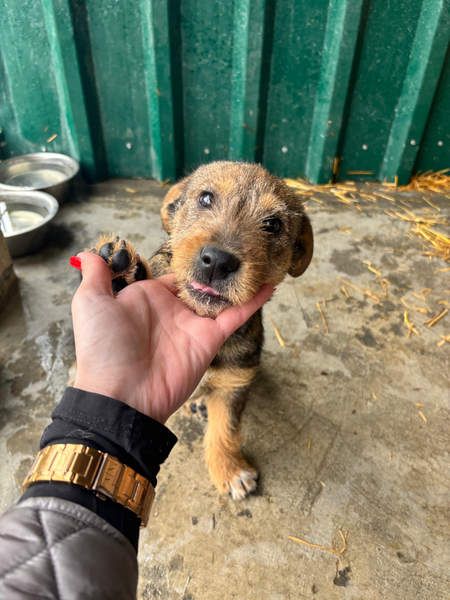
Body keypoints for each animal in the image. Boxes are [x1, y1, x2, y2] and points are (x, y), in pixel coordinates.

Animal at [91, 161, 313, 500]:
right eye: (206, 198)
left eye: (273, 224)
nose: (218, 261)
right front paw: (127, 275)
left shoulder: (234, 383)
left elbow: (225, 430)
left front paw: (230, 471)